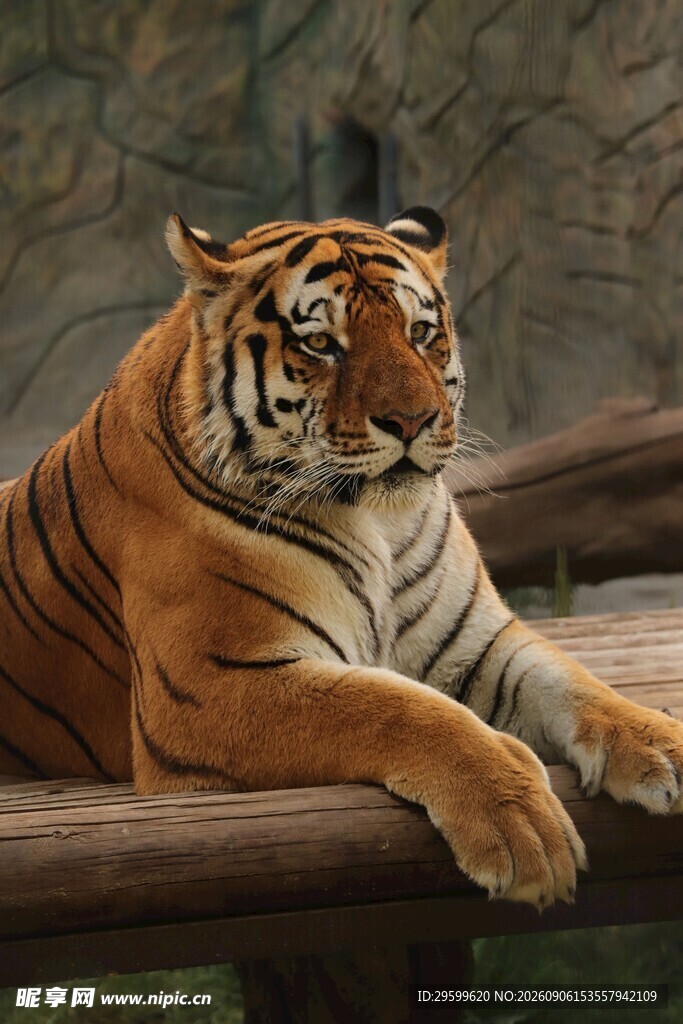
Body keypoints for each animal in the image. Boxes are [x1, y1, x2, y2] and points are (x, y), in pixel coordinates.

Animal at [1, 206, 682, 910]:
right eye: (323, 344)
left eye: (419, 332)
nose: (412, 421)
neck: (380, 521)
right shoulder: (209, 686)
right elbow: (398, 711)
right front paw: (520, 824)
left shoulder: (476, 643)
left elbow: (573, 680)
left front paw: (662, 741)